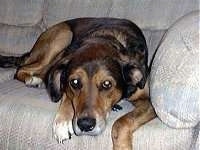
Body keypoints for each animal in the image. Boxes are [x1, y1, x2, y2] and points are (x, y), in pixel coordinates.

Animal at [0, 17, 156, 150]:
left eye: (107, 84)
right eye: (74, 82)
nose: (85, 125)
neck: (107, 39)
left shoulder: (149, 103)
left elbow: (121, 122)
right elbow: (66, 96)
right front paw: (62, 122)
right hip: (63, 36)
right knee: (22, 68)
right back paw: (32, 79)